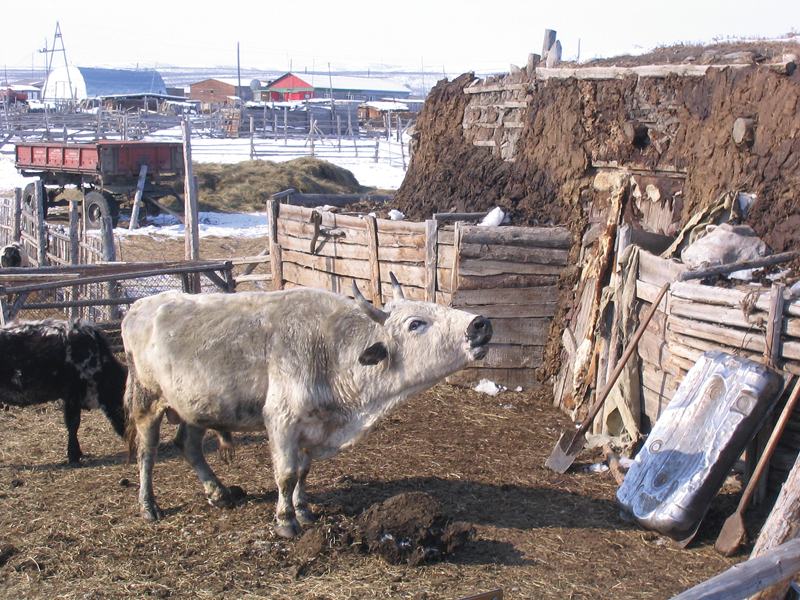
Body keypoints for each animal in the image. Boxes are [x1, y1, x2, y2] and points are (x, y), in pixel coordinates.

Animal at [122, 274, 492, 537]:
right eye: (416, 323)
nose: (480, 323)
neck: (331, 352)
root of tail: (139, 306)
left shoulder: (312, 427)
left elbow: (302, 472)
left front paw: (303, 510)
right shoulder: (282, 422)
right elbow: (286, 474)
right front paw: (286, 521)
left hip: (194, 406)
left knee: (188, 445)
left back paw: (219, 493)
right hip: (146, 402)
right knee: (147, 452)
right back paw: (148, 505)